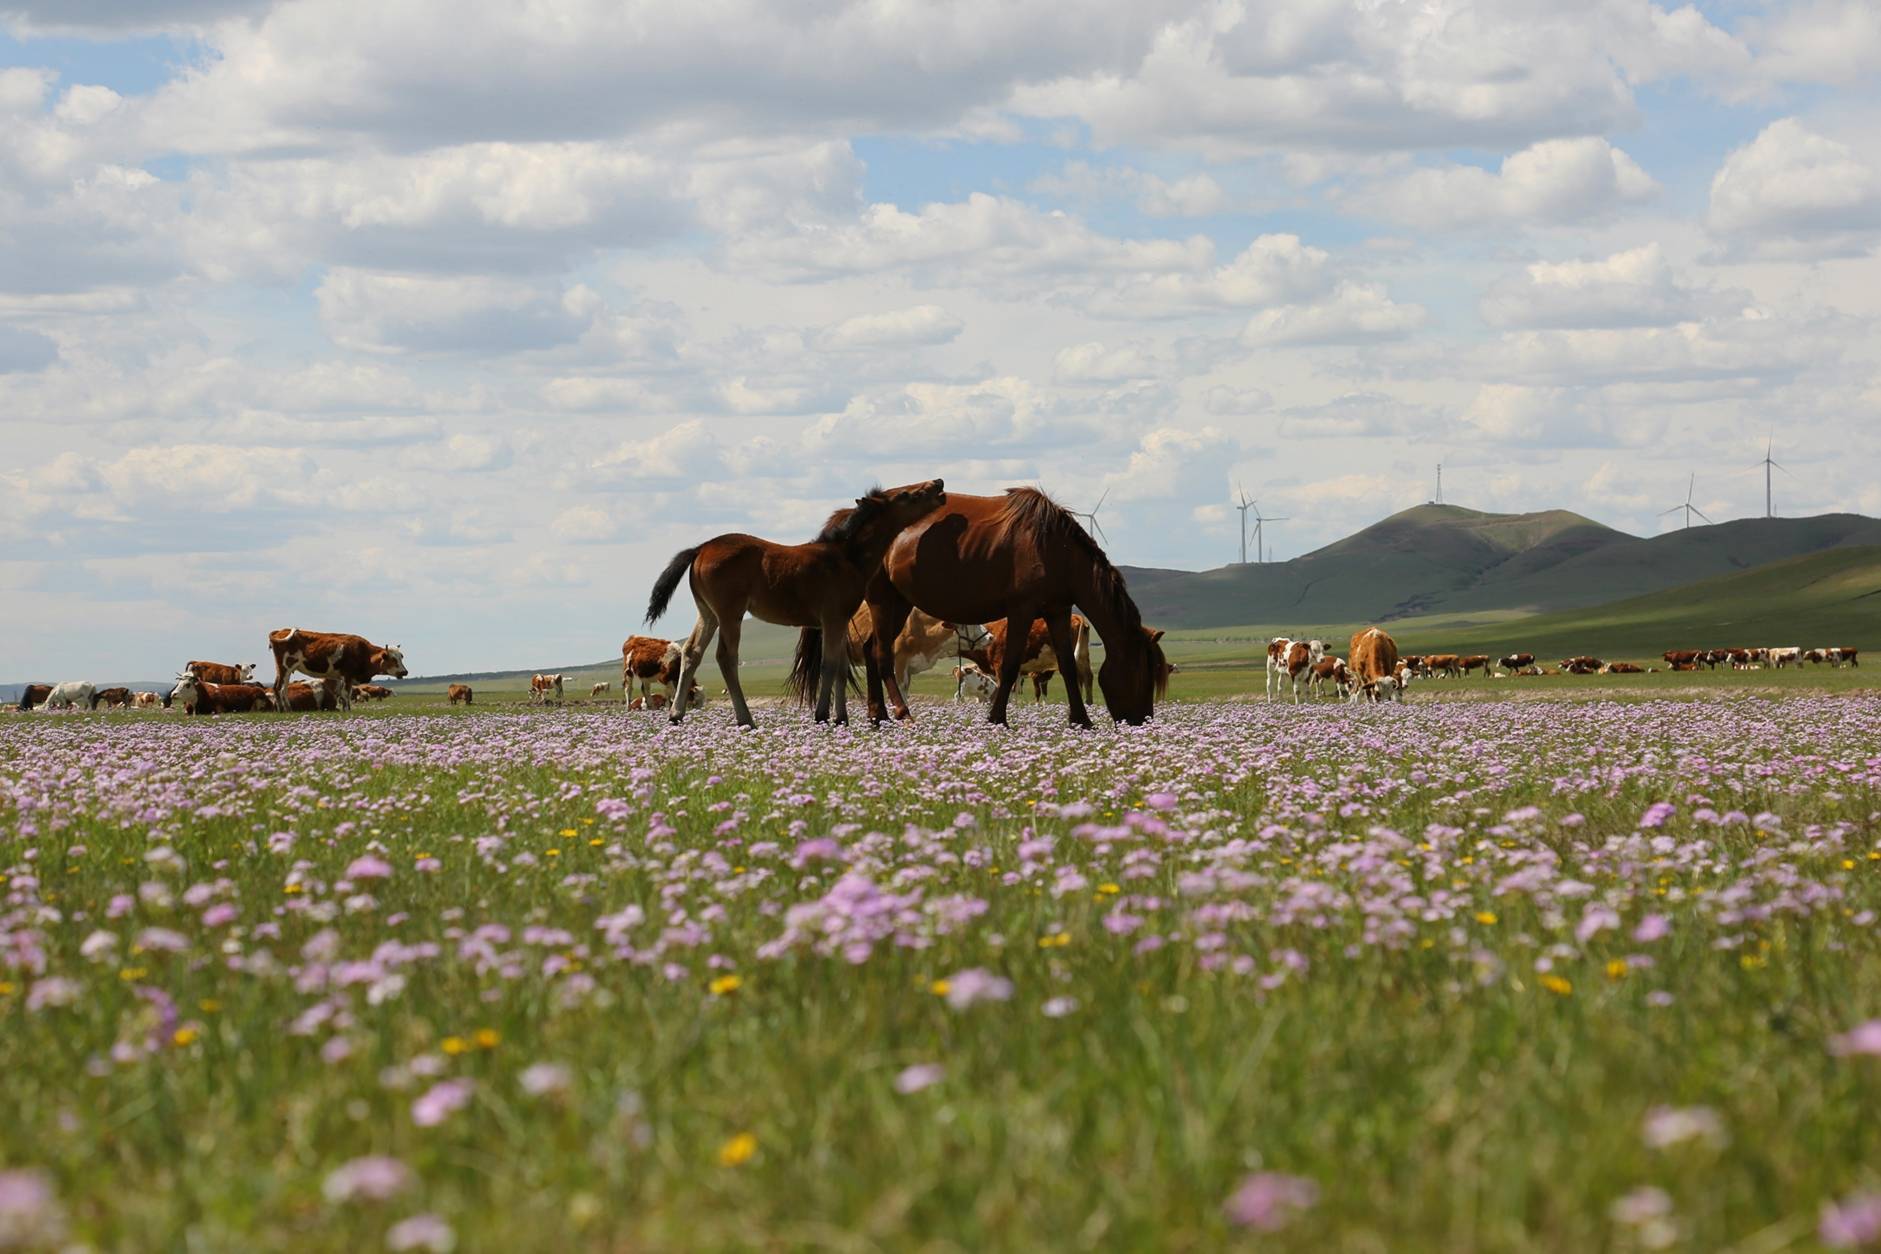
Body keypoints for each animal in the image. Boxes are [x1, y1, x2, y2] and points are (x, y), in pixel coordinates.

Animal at [267, 627, 406, 714]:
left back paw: (281, 709)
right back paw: (286, 709)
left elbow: (344, 695)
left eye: (401, 656)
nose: (405, 672)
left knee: (276, 688)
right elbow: (346, 694)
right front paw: (348, 710)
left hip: (282, 669)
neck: (363, 653)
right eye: (392, 658)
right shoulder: (347, 675)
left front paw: (345, 708)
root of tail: (280, 631)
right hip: (285, 667)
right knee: (281, 688)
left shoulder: (344, 678)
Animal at [647, 485, 948, 736]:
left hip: (707, 613)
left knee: (692, 652)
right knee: (725, 657)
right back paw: (746, 719)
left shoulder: (840, 620)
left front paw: (842, 718)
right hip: (730, 614)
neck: (846, 557)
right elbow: (829, 664)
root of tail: (699, 549)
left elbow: (841, 666)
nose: (939, 484)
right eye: (906, 495)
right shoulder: (832, 618)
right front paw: (822, 715)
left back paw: (676, 715)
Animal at [861, 488, 1158, 729]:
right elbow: (1012, 665)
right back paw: (901, 713)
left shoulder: (1058, 611)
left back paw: (879, 717)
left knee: (870, 648)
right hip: (882, 599)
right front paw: (997, 719)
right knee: (881, 653)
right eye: (1143, 674)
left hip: (900, 602)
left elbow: (1067, 665)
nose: (1141, 721)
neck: (1055, 550)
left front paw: (1081, 721)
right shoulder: (1021, 610)